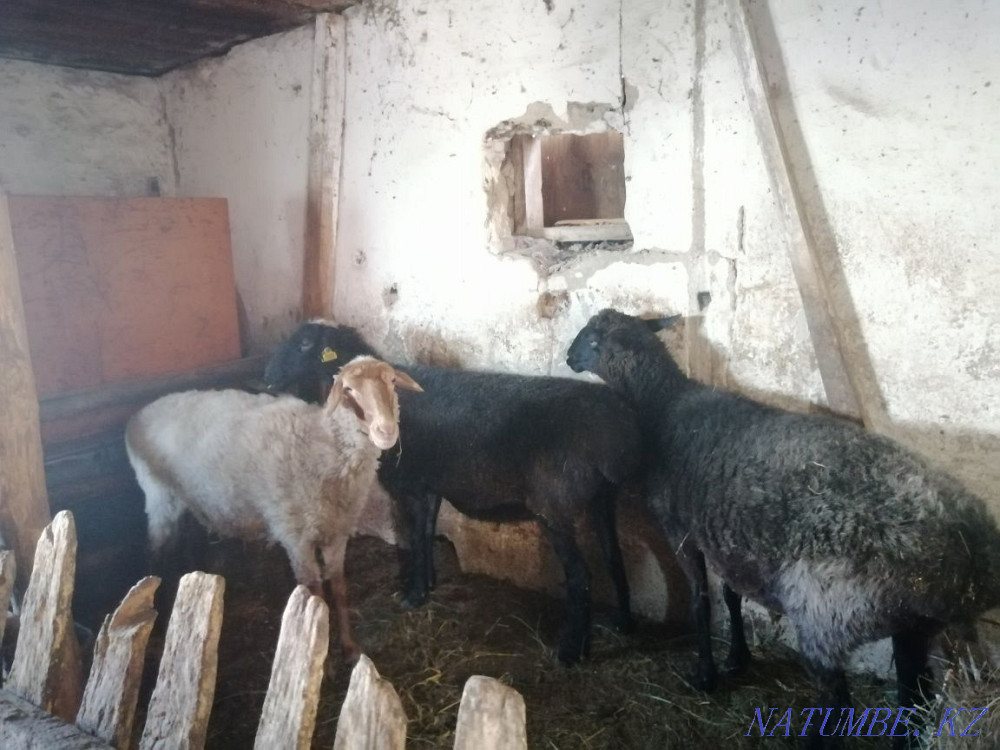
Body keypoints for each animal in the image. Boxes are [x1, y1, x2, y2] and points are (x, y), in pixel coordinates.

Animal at [125, 356, 423, 660]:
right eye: (348, 389)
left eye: (392, 381)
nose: (386, 431)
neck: (324, 446)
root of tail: (139, 414)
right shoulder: (296, 536)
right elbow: (314, 594)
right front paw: (313, 645)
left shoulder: (336, 531)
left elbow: (339, 586)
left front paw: (350, 647)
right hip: (160, 497)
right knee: (155, 552)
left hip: (191, 498)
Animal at [263, 320, 642, 665]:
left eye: (305, 344)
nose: (266, 377)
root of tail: (614, 428)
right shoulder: (431, 485)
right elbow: (428, 533)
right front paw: (428, 584)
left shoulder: (413, 484)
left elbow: (416, 536)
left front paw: (414, 594)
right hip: (602, 498)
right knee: (613, 557)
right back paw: (621, 626)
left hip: (555, 504)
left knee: (580, 577)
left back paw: (569, 653)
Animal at [566, 308, 1000, 747]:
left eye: (592, 339)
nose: (568, 357)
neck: (663, 406)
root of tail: (968, 563)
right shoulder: (725, 538)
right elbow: (732, 596)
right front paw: (737, 657)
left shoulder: (681, 529)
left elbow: (701, 600)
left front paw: (705, 674)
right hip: (913, 626)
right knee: (914, 701)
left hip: (827, 613)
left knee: (838, 705)